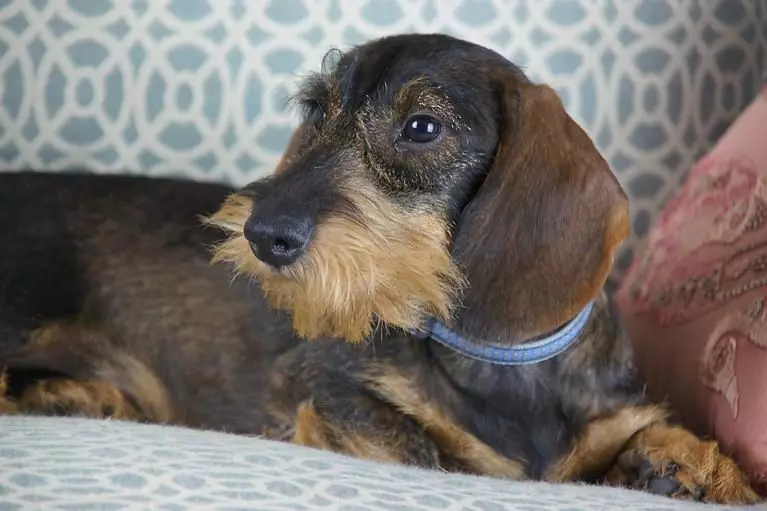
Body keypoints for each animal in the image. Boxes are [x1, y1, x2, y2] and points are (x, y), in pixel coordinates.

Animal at [0, 35, 760, 504]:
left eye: (421, 127)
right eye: (316, 111)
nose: (259, 234)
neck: (497, 358)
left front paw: (693, 464)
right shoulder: (318, 386)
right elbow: (424, 449)